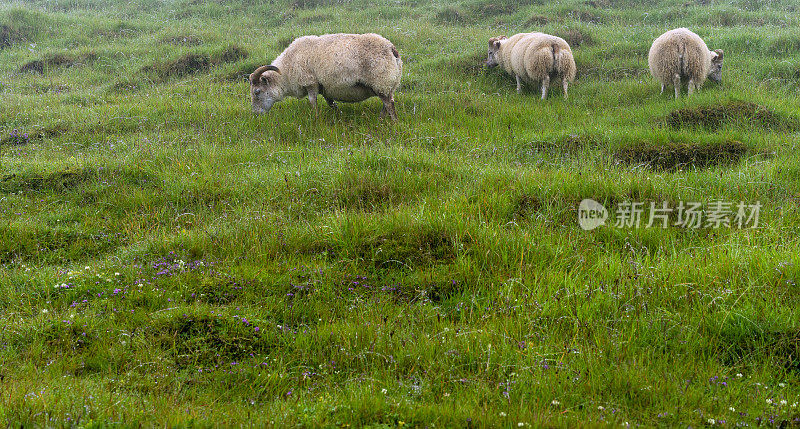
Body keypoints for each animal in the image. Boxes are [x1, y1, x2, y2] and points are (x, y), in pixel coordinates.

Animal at [248, 32, 404, 118]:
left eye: (257, 92)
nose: (256, 114)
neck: (286, 70)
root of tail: (391, 48)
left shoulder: (310, 82)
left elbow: (312, 101)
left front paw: (316, 118)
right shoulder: (326, 88)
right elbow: (331, 103)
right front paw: (338, 116)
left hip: (381, 81)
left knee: (389, 104)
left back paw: (394, 123)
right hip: (386, 84)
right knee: (386, 104)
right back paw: (380, 120)